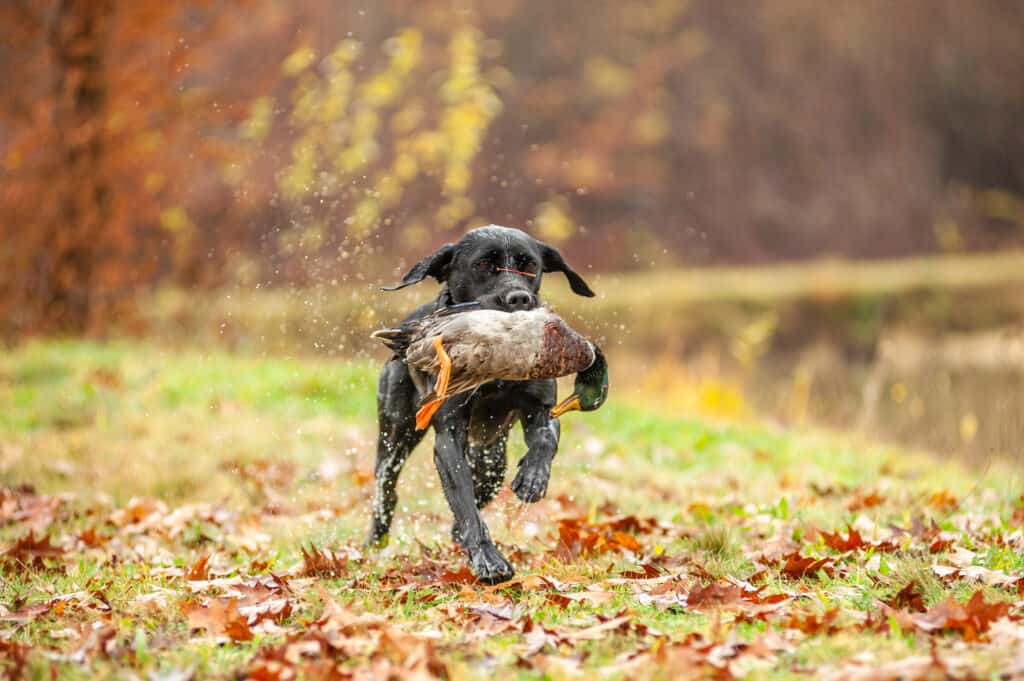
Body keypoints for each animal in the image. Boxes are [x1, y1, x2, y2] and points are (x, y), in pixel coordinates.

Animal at [366, 225, 593, 581]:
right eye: (483, 264)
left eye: (531, 265)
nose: (519, 298)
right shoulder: (448, 436)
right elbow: (464, 502)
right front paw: (488, 559)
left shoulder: (541, 408)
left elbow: (546, 439)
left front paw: (533, 478)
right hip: (396, 434)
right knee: (386, 485)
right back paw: (374, 541)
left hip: (492, 461)